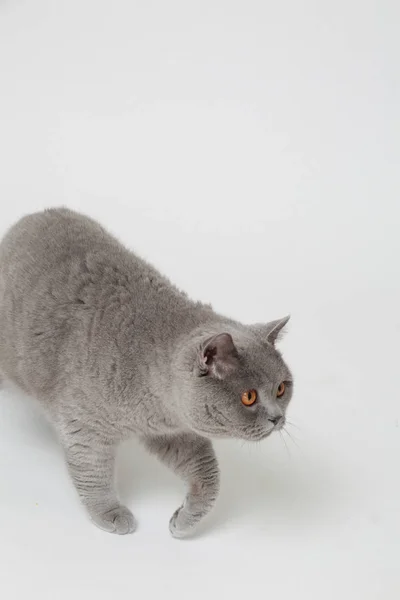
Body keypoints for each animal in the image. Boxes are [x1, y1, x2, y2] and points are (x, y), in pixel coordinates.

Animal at [0, 209, 294, 536]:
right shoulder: (84, 425)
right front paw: (110, 514)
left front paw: (184, 520)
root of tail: (34, 216)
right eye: (249, 396)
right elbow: (93, 472)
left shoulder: (170, 432)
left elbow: (209, 476)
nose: (277, 417)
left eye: (282, 389)